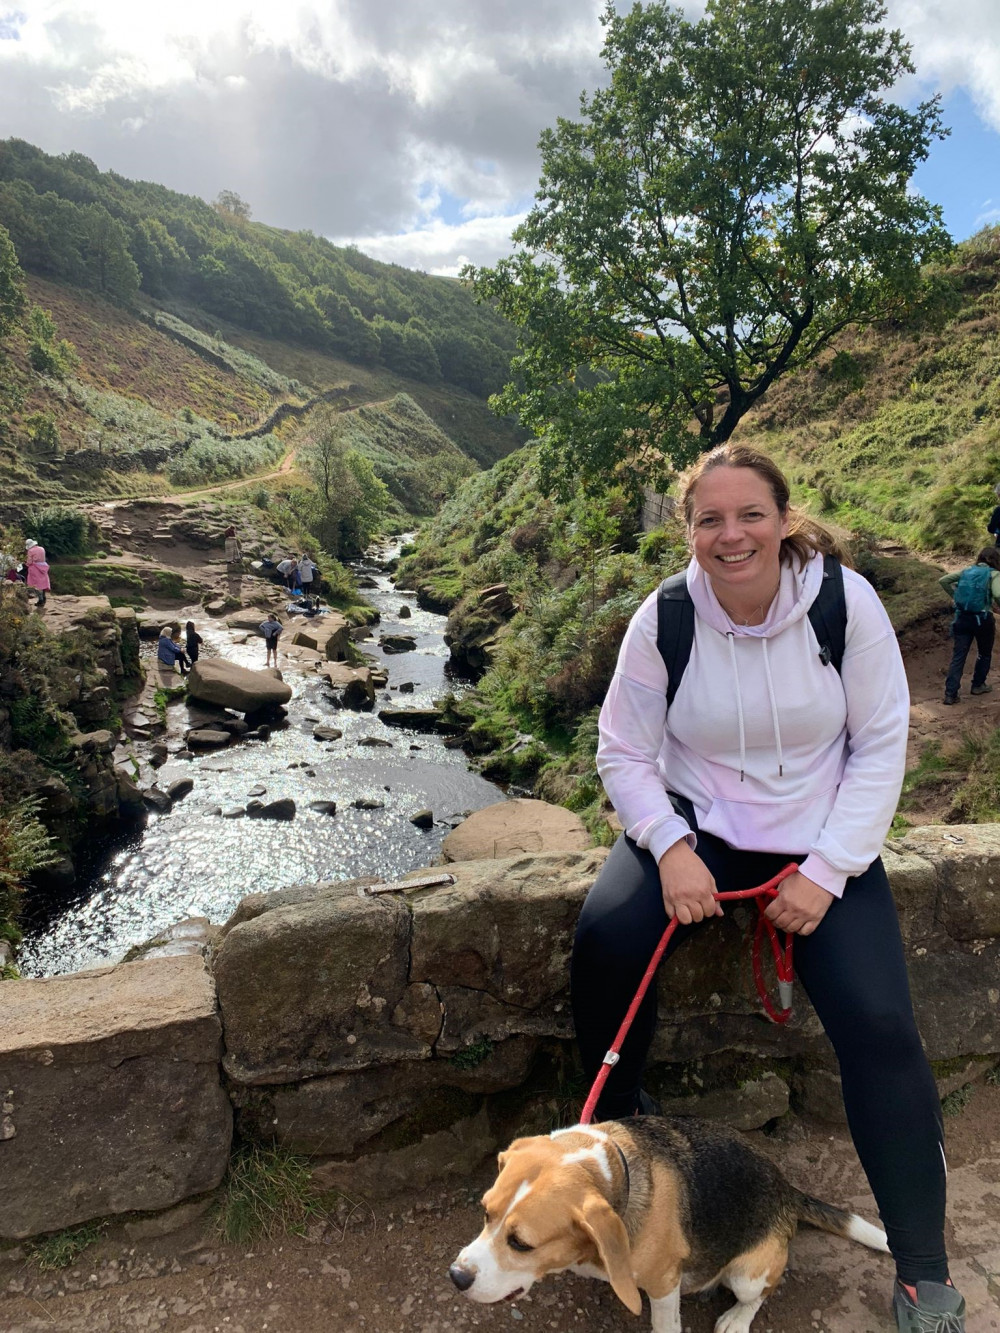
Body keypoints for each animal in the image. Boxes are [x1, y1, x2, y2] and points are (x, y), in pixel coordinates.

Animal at [450, 1114, 890, 1333]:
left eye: (521, 1243)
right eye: (485, 1213)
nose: (455, 1277)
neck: (615, 1172)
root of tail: (785, 1188)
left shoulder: (664, 1282)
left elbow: (665, 1324)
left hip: (748, 1273)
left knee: (761, 1292)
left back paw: (736, 1319)